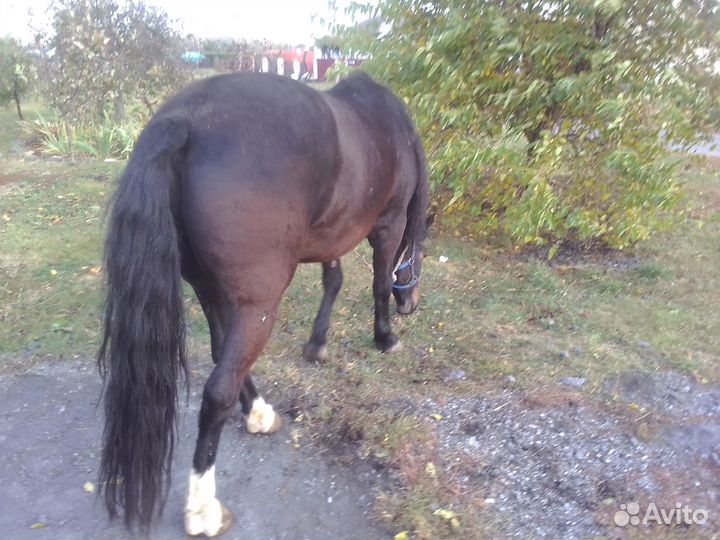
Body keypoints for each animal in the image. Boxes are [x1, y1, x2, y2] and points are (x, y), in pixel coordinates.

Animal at [97, 71, 431, 537]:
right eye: (422, 248)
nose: (411, 304)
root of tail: (186, 120)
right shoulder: (388, 223)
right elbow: (379, 284)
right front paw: (385, 337)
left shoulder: (332, 234)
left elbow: (333, 280)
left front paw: (317, 344)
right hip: (258, 305)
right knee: (218, 390)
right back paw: (204, 508)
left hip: (213, 291)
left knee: (224, 355)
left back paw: (258, 412)